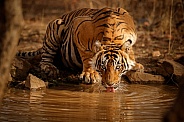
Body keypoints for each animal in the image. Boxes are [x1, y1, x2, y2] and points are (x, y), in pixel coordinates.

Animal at [16, 7, 144, 90]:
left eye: (118, 67)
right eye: (102, 67)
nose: (110, 85)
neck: (113, 38)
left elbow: (130, 51)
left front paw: (135, 65)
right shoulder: (78, 27)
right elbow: (87, 55)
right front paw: (90, 74)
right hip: (56, 26)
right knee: (45, 59)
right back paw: (50, 68)